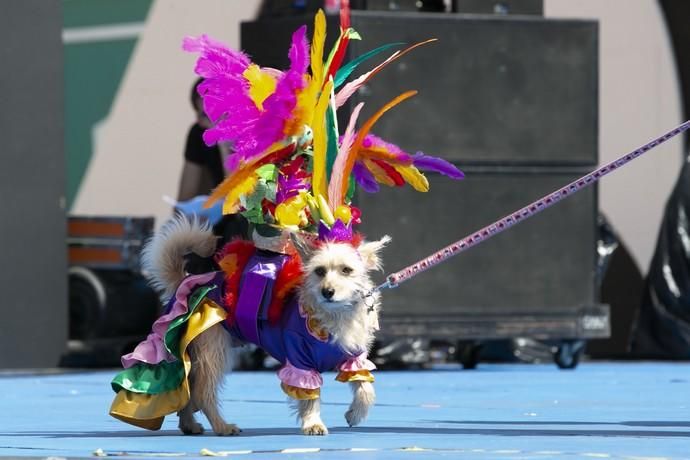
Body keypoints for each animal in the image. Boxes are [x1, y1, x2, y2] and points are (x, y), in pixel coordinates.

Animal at [141, 217, 388, 436]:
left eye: (347, 270)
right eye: (319, 271)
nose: (327, 292)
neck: (336, 314)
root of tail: (185, 283)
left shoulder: (354, 359)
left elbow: (366, 390)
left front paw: (355, 414)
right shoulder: (300, 363)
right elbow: (310, 397)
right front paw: (313, 424)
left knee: (189, 391)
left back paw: (189, 425)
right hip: (214, 351)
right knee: (203, 393)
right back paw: (222, 427)